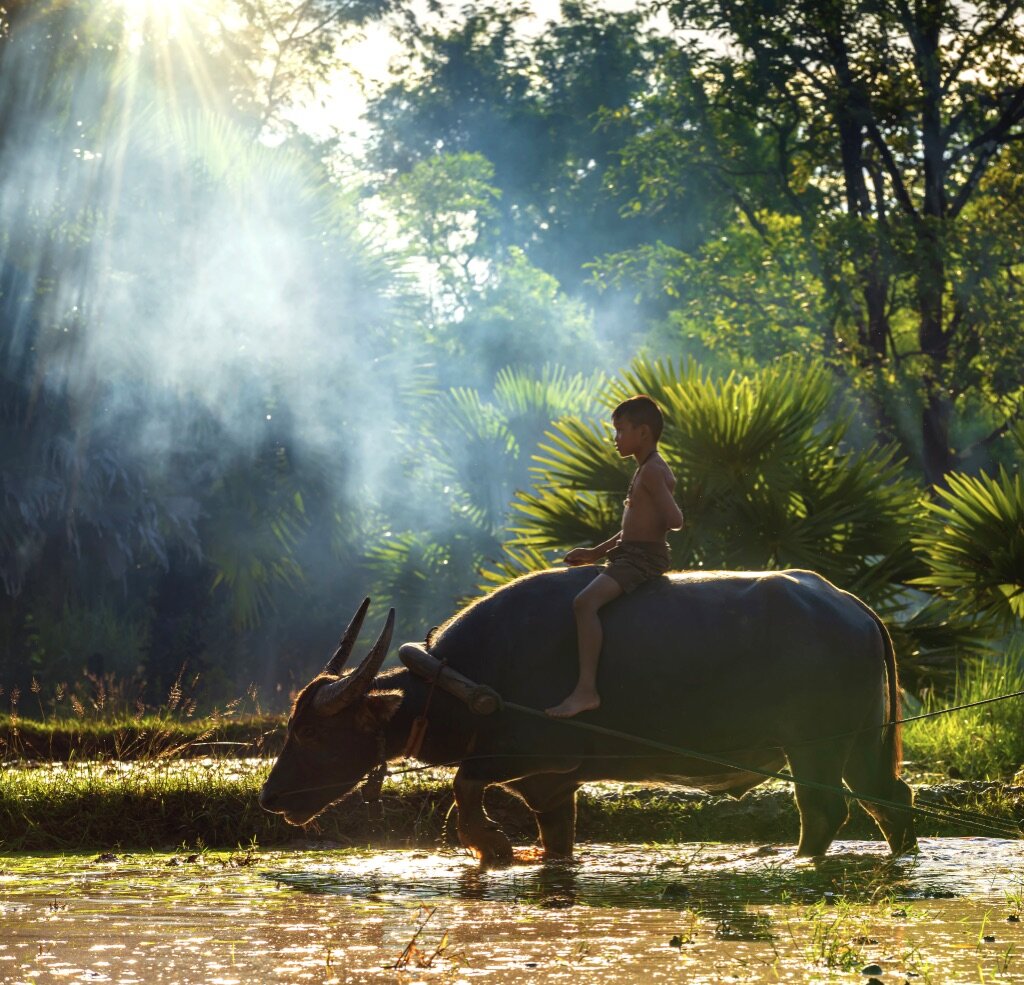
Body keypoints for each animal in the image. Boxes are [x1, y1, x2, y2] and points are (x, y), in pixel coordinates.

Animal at [259, 567, 917, 861]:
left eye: (311, 731)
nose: (269, 796)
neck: (469, 680)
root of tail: (854, 607)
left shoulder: (539, 755)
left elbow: (464, 783)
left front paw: (491, 844)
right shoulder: (553, 786)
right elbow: (554, 839)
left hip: (815, 746)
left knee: (825, 808)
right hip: (861, 741)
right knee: (890, 798)